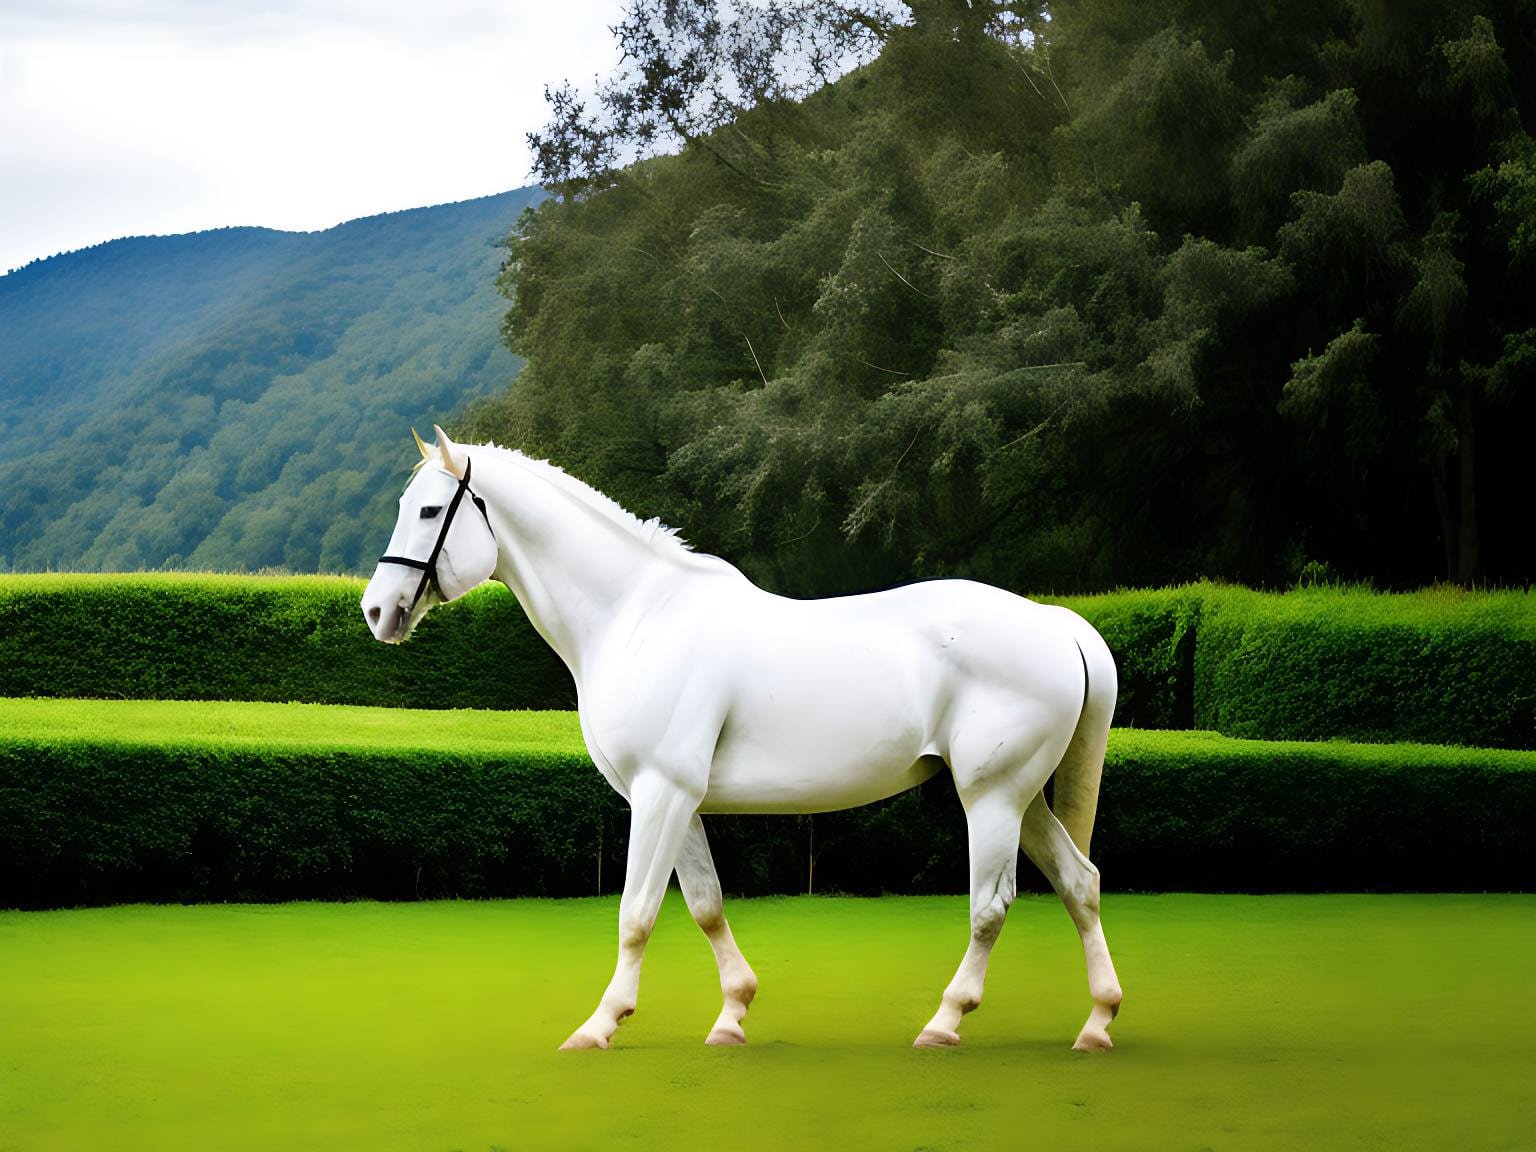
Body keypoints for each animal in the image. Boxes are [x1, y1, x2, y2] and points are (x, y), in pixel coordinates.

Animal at [362, 426, 1123, 1052]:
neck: (638, 616)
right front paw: (732, 1014)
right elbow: (704, 904)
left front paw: (599, 1025)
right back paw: (1097, 1022)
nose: (376, 611)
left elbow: (636, 913)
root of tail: (1056, 623)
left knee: (991, 907)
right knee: (1079, 883)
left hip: (992, 799)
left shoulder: (660, 794)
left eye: (428, 512)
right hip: (1023, 799)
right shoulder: (675, 799)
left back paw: (945, 1021)